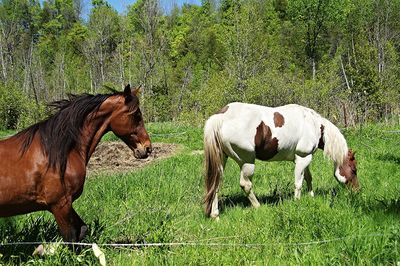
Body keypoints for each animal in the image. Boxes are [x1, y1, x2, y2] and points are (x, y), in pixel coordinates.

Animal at [0, 84, 152, 241]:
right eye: (136, 115)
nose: (148, 148)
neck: (57, 152)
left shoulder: (65, 204)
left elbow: (82, 230)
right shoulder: (60, 205)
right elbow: (71, 237)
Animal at [203, 102, 360, 218]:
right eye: (354, 170)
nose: (357, 191)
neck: (314, 125)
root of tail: (221, 117)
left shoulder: (303, 158)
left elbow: (308, 178)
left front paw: (311, 196)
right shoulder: (303, 158)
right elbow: (298, 183)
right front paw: (297, 202)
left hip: (222, 159)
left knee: (216, 183)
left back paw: (215, 215)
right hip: (247, 161)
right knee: (246, 185)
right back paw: (258, 207)